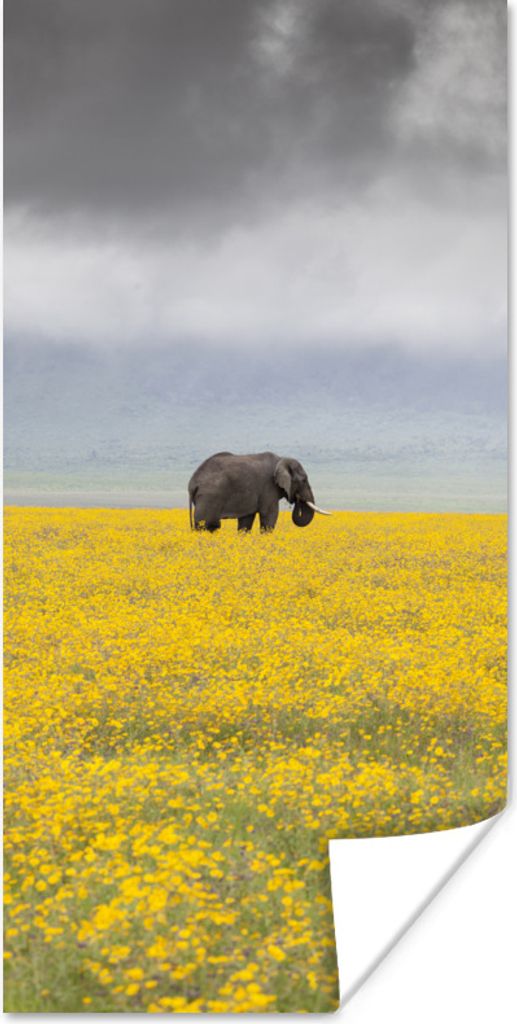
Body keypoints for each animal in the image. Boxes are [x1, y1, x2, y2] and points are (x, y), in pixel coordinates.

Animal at [188, 451, 330, 532]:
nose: (297, 499)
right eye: (304, 480)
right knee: (208, 524)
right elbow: (269, 515)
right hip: (209, 497)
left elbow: (246, 521)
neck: (281, 459)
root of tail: (192, 483)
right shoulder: (268, 486)